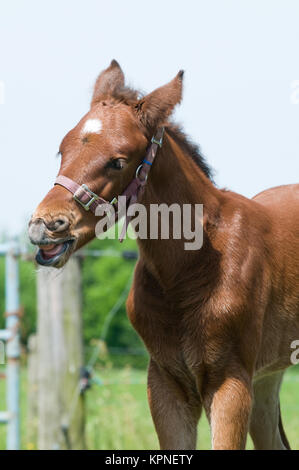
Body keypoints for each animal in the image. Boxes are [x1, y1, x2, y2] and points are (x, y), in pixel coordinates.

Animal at [28, 60, 299, 450]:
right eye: (62, 150)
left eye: (118, 161)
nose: (45, 226)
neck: (189, 269)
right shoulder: (165, 382)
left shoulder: (230, 382)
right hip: (267, 376)